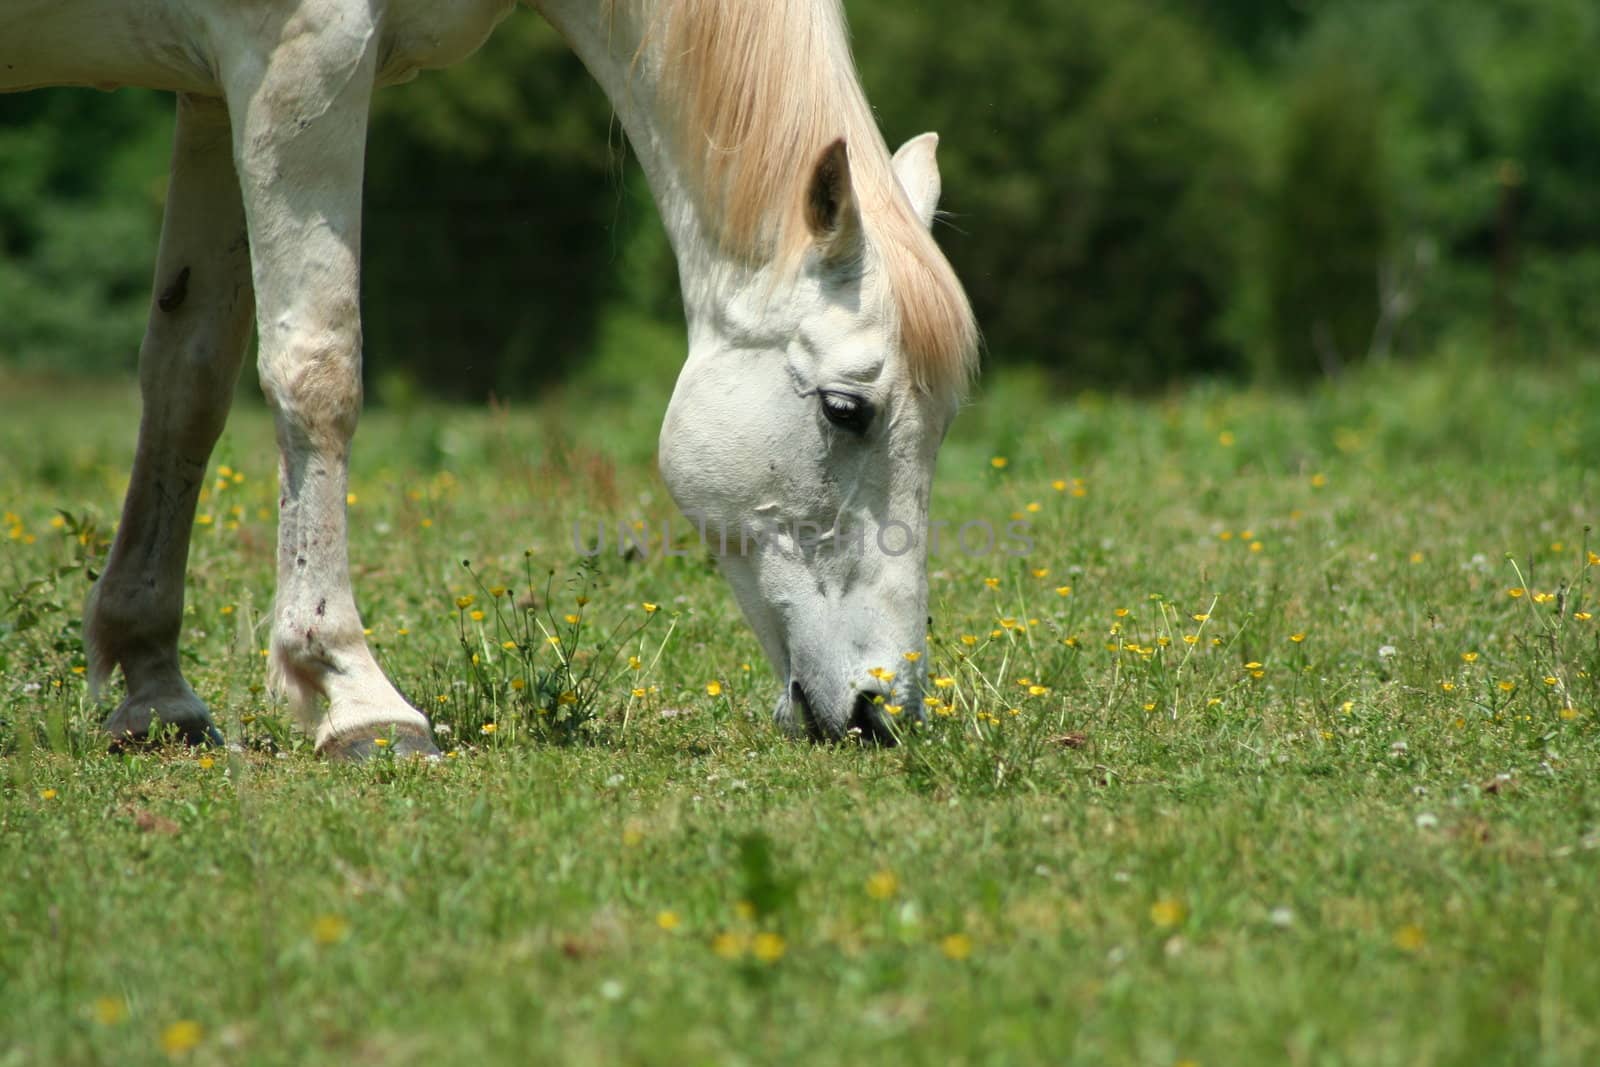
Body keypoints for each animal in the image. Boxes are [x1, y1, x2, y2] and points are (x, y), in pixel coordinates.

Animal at [0, 0, 979, 755]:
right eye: (847, 410)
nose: (884, 711)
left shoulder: (210, 88)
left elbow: (189, 379)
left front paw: (153, 689)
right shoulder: (299, 57)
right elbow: (318, 370)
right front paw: (354, 693)